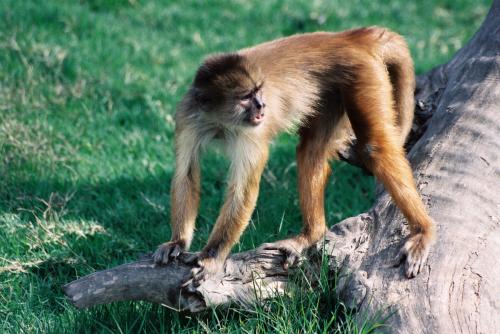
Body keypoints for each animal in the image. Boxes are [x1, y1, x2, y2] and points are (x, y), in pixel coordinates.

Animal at [152, 26, 434, 284]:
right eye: (245, 97)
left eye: (258, 91)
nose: (262, 105)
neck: (221, 123)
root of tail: (346, 37)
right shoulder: (189, 115)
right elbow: (186, 174)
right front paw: (178, 242)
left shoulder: (252, 131)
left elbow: (242, 190)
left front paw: (211, 257)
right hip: (331, 87)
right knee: (311, 149)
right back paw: (311, 235)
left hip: (361, 72)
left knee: (374, 149)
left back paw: (423, 230)